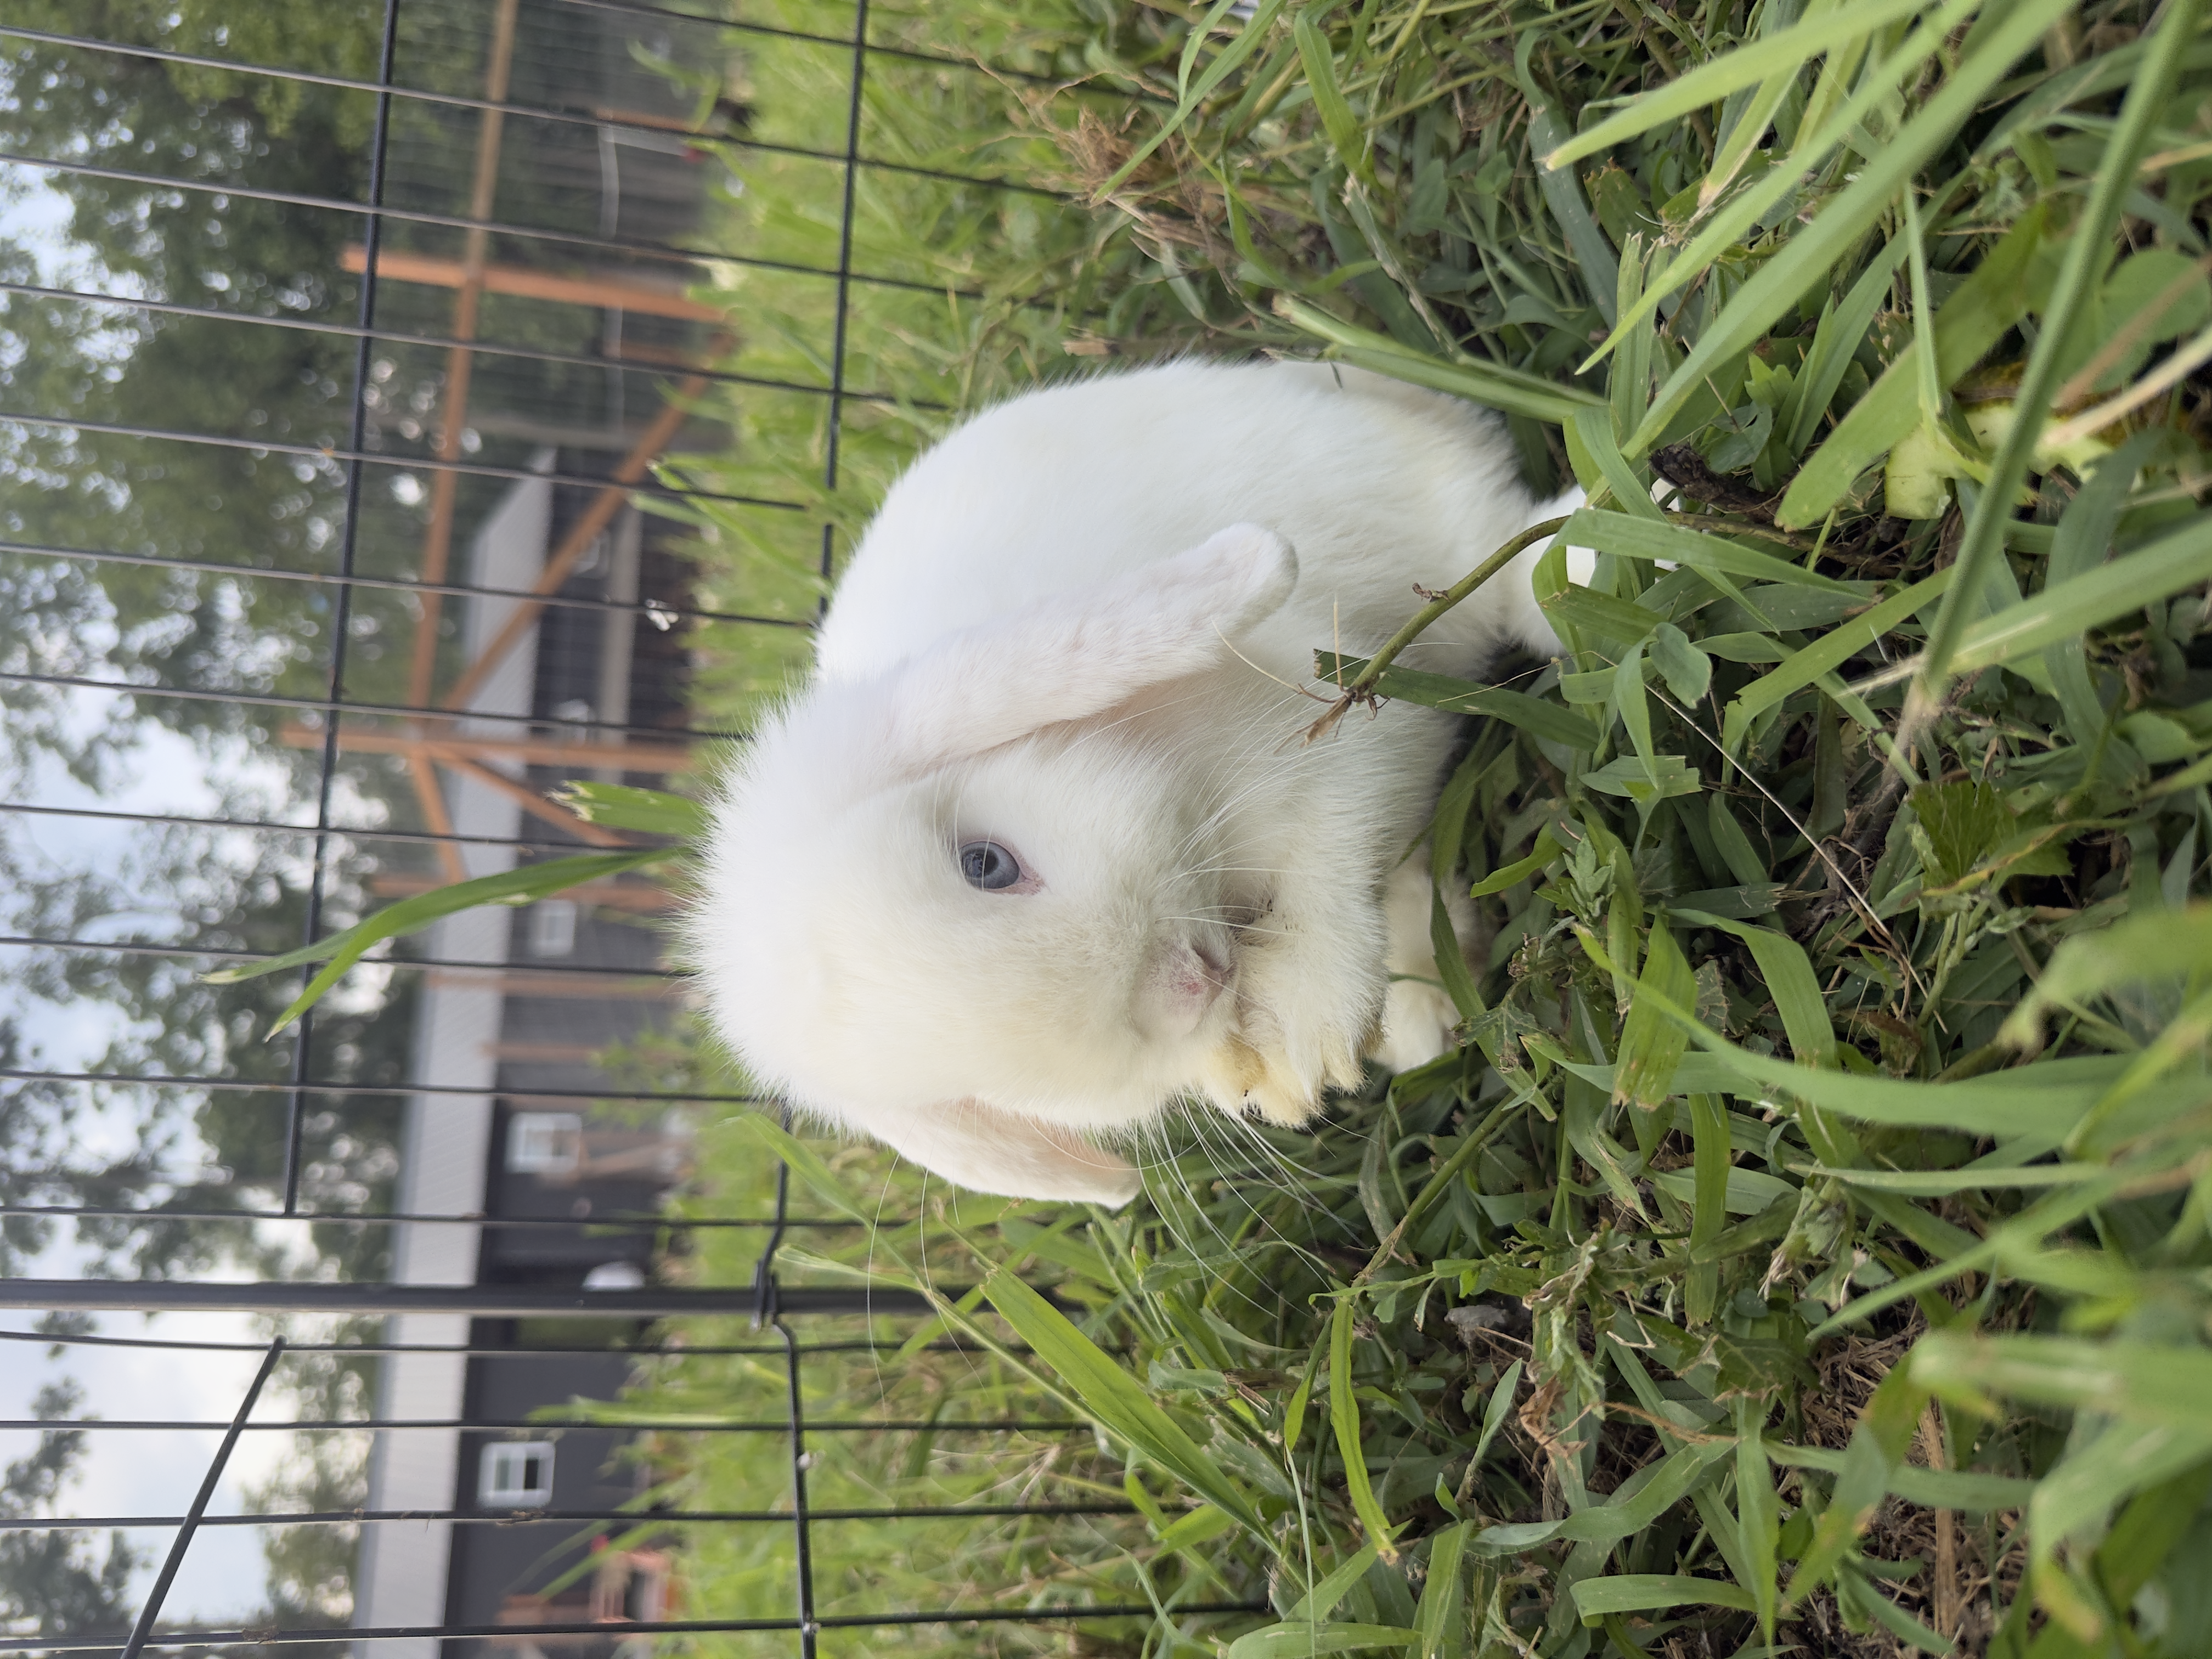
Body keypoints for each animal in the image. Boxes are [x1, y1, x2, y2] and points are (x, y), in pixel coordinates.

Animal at [689, 358, 1585, 1206]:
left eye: (985, 863)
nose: (1192, 985)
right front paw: (1259, 1075)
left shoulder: (1345, 733)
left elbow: (1326, 873)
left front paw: (1306, 1026)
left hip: (1421, 520)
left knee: (1508, 557)